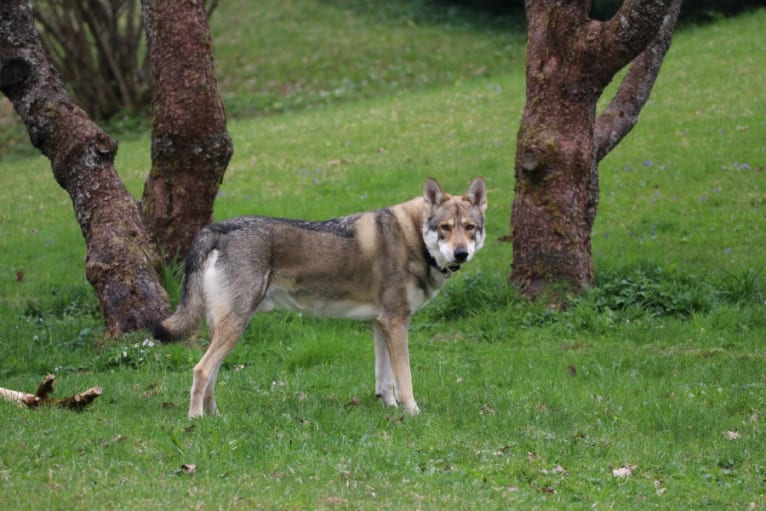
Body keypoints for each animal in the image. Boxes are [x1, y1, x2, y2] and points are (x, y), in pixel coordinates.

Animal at [154, 178, 488, 418]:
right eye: (445, 228)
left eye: (469, 228)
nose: (461, 253)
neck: (415, 239)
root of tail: (216, 229)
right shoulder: (396, 323)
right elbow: (404, 380)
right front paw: (413, 412)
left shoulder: (380, 323)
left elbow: (385, 380)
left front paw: (390, 408)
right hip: (234, 326)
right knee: (201, 370)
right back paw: (196, 420)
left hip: (227, 328)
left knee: (211, 373)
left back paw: (216, 416)